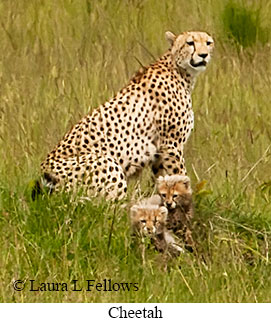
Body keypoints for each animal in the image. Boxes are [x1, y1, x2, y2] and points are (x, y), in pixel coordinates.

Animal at [38, 31, 215, 201]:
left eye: (208, 43)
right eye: (190, 43)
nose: (204, 55)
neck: (179, 71)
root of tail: (43, 174)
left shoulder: (159, 151)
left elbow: (161, 179)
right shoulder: (171, 145)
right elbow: (181, 176)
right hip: (107, 163)